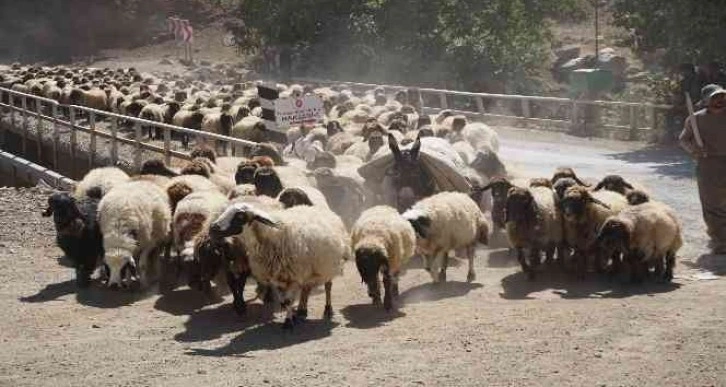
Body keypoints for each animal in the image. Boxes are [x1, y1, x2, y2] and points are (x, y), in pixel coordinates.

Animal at [209, 203, 352, 330]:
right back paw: (302, 310)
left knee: (328, 286)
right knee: (306, 288)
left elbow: (288, 301)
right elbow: (284, 301)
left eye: (240, 215)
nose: (213, 228)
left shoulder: (293, 276)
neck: (270, 237)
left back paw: (328, 310)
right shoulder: (276, 276)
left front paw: (288, 323)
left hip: (328, 266)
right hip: (309, 269)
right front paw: (292, 316)